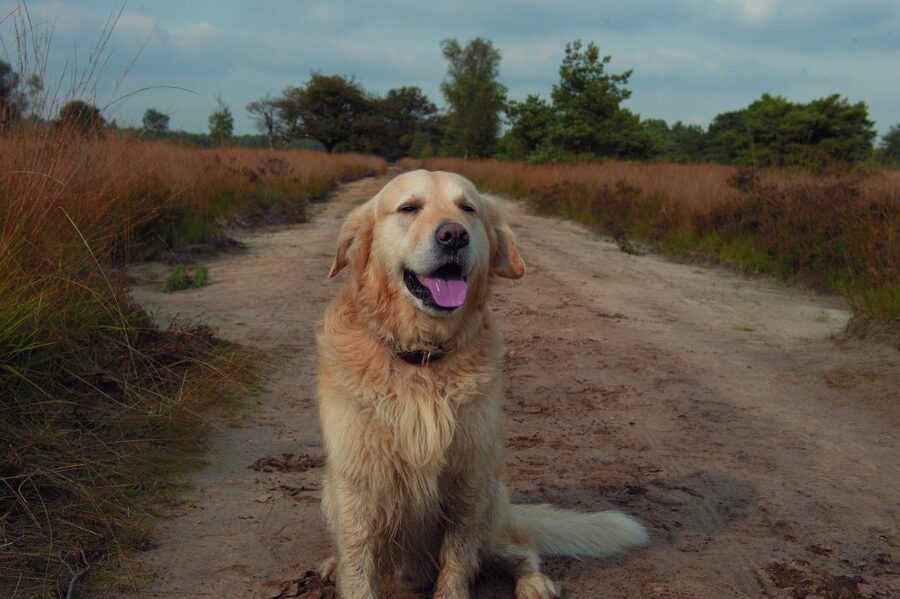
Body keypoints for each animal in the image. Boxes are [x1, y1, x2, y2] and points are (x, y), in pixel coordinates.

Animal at [316, 170, 648, 599]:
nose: (454, 235)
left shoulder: (468, 476)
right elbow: (358, 564)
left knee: (519, 550)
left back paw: (535, 583)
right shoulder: (355, 482)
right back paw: (331, 565)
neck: (423, 357)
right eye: (409, 208)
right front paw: (346, 572)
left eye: (467, 208)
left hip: (492, 501)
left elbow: (457, 558)